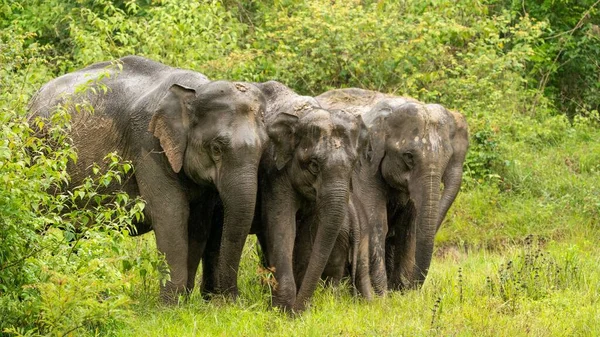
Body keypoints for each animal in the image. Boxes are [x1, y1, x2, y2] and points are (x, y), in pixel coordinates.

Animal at [28, 55, 268, 302]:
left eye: (264, 149)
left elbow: (199, 222)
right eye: (216, 148)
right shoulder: (147, 142)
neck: (195, 91)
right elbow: (171, 213)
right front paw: (170, 304)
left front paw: (185, 301)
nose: (233, 300)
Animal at [316, 88, 472, 290]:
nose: (412, 287)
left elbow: (409, 227)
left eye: (447, 157)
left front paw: (400, 292)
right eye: (408, 156)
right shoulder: (364, 165)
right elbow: (376, 222)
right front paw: (382, 292)